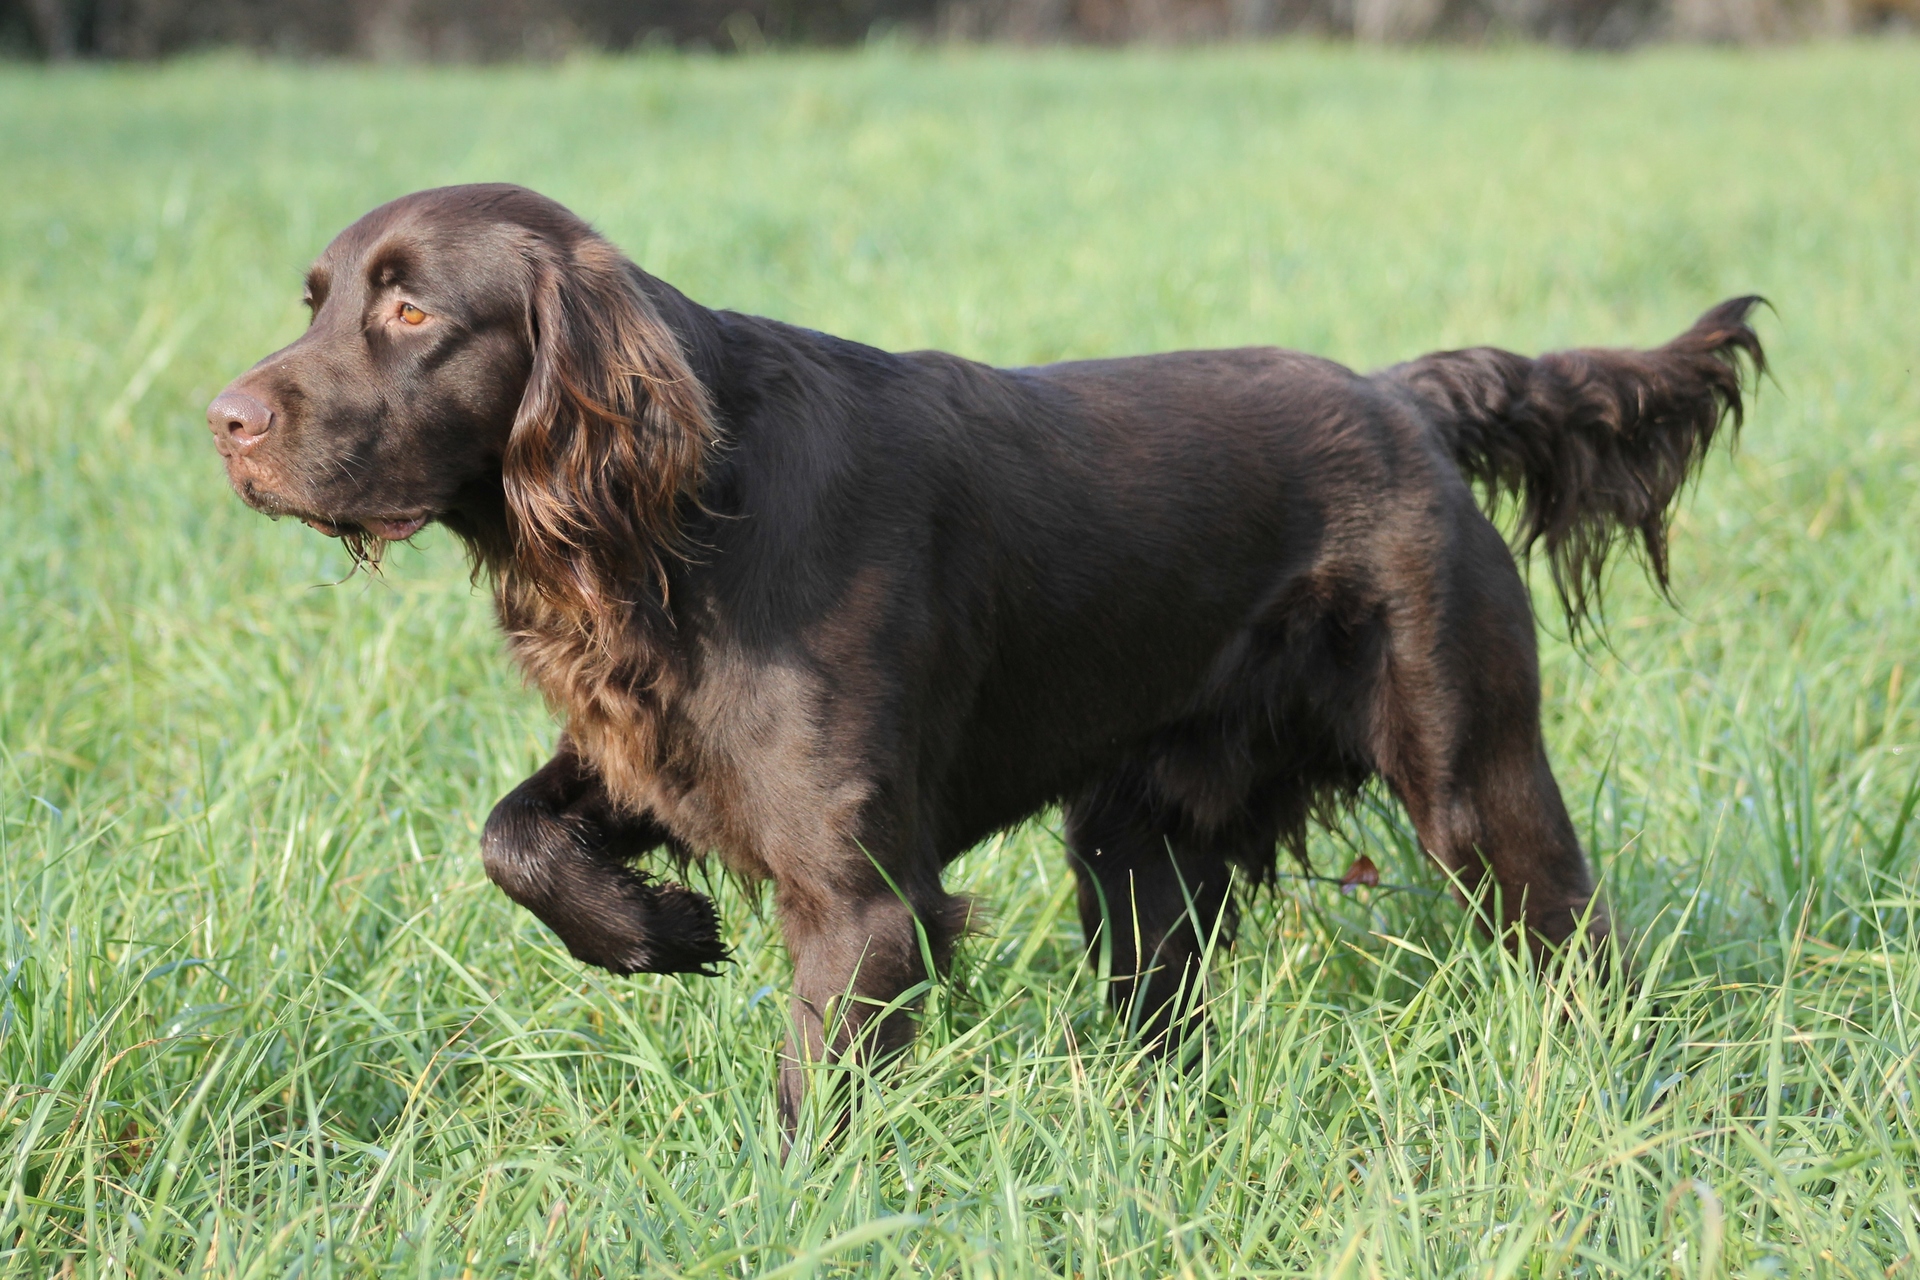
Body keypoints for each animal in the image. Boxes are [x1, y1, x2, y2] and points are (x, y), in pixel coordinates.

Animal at [206, 182, 1758, 1128]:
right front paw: (654, 930)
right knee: (1161, 1008)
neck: (685, 515)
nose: (223, 421)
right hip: (1140, 843)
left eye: (412, 311)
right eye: (314, 298)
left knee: (1582, 946)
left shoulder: (865, 901)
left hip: (1471, 778)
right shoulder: (655, 749)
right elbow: (509, 832)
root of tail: (1404, 397)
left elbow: (809, 1107)